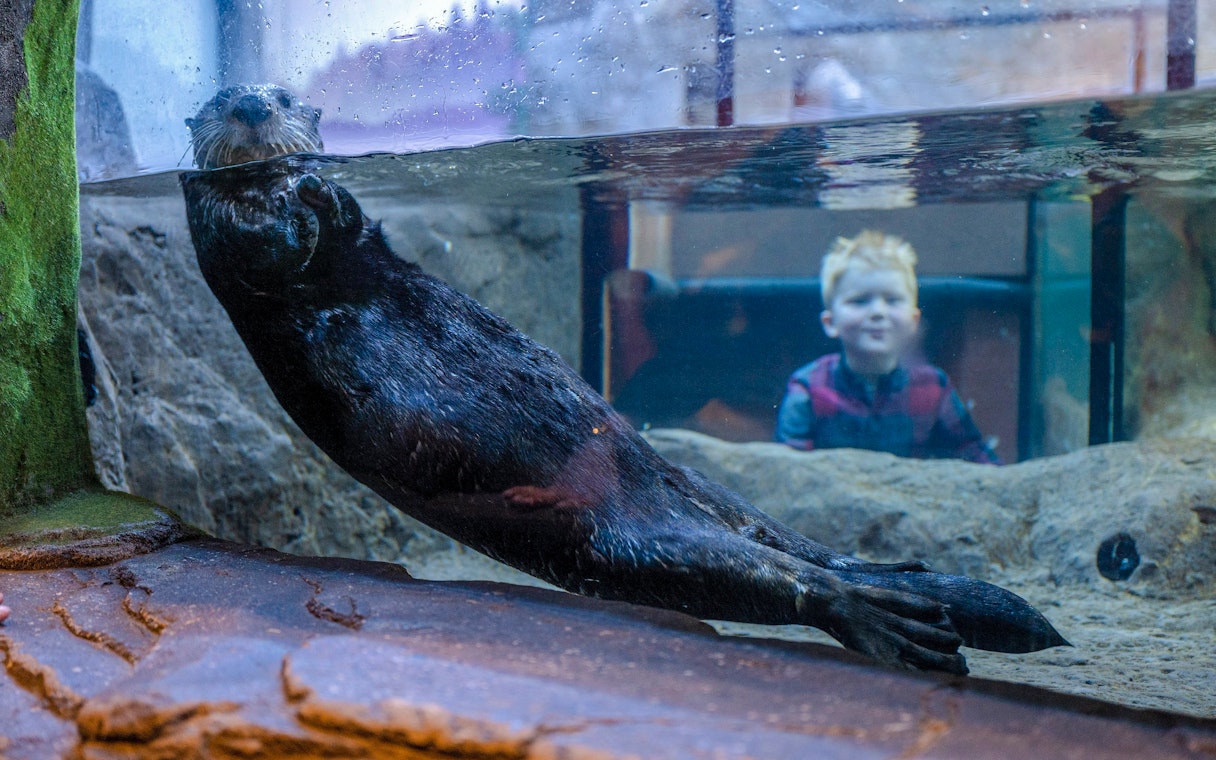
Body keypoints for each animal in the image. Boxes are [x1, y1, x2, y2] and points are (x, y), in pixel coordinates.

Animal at [180, 87, 1067, 674]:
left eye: (284, 93)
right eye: (218, 97)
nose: (250, 103)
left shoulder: (360, 243)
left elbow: (350, 224)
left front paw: (320, 185)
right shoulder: (227, 234)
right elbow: (267, 244)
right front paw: (299, 195)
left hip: (700, 492)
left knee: (789, 541)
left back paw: (905, 576)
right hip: (629, 546)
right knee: (776, 576)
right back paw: (896, 622)